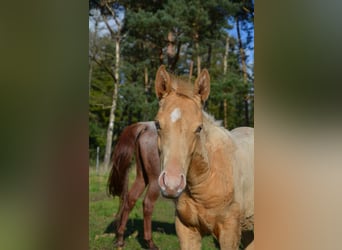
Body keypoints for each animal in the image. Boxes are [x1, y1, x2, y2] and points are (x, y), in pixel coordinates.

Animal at [107, 121, 160, 250]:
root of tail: (147, 126)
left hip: (142, 177)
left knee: (130, 199)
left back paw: (120, 238)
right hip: (156, 179)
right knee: (147, 204)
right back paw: (150, 242)